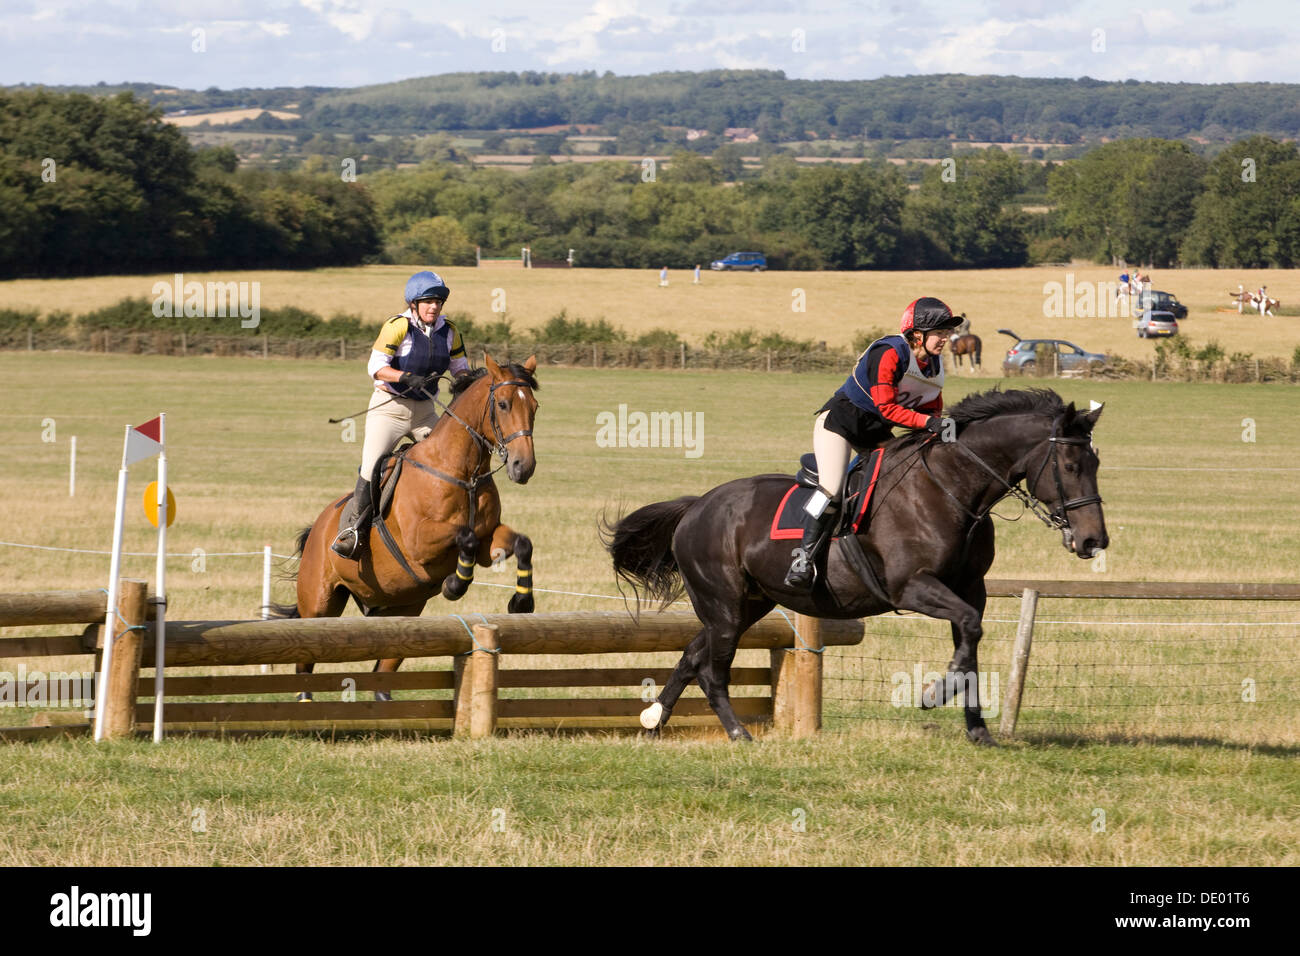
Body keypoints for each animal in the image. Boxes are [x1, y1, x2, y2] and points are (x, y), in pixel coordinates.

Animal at [280, 353, 540, 701]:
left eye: (535, 406)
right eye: (502, 404)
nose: (523, 467)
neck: (462, 472)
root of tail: (318, 528)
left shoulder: (490, 540)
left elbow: (521, 543)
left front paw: (522, 602)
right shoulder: (421, 543)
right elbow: (465, 536)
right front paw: (455, 585)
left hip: (404, 606)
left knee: (384, 668)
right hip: (319, 604)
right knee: (305, 661)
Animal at [602, 388, 1107, 746]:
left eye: (1096, 462)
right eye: (1069, 464)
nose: (1093, 541)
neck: (950, 488)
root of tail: (695, 507)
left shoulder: (970, 589)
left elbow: (972, 644)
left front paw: (978, 730)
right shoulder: (911, 587)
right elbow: (968, 631)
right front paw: (931, 695)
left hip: (750, 604)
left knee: (692, 655)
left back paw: (654, 720)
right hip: (724, 603)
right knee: (710, 669)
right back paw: (738, 734)